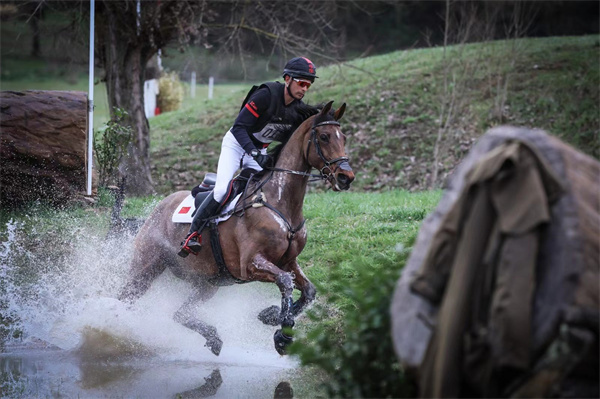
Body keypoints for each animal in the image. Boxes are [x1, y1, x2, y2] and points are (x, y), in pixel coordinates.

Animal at [117, 101, 354, 358]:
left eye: (343, 137)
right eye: (324, 136)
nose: (346, 177)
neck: (278, 201)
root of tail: (158, 208)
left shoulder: (288, 261)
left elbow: (308, 290)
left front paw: (271, 317)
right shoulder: (249, 265)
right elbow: (285, 282)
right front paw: (282, 335)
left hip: (207, 282)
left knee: (180, 313)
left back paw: (213, 338)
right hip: (146, 267)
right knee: (124, 297)